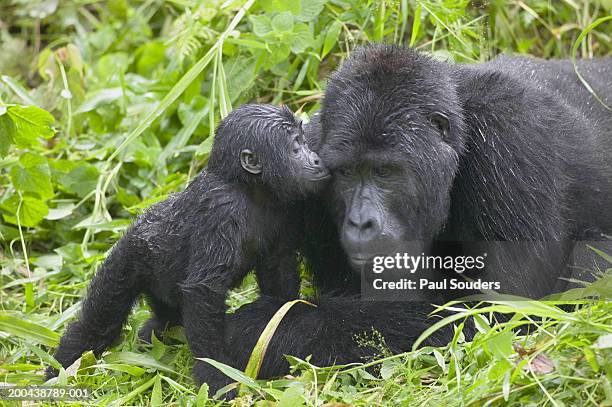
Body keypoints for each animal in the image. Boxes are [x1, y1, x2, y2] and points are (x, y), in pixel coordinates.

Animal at [46, 104, 330, 396]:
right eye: (295, 146)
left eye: (304, 140)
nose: (316, 159)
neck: (248, 187)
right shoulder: (221, 210)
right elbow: (204, 291)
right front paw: (215, 374)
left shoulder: (284, 209)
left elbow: (278, 272)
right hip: (128, 256)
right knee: (99, 322)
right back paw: (60, 370)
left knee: (165, 319)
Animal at [226, 46, 612, 380]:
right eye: (345, 173)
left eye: (385, 172)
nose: (361, 222)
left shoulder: (511, 135)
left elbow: (502, 311)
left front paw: (262, 328)